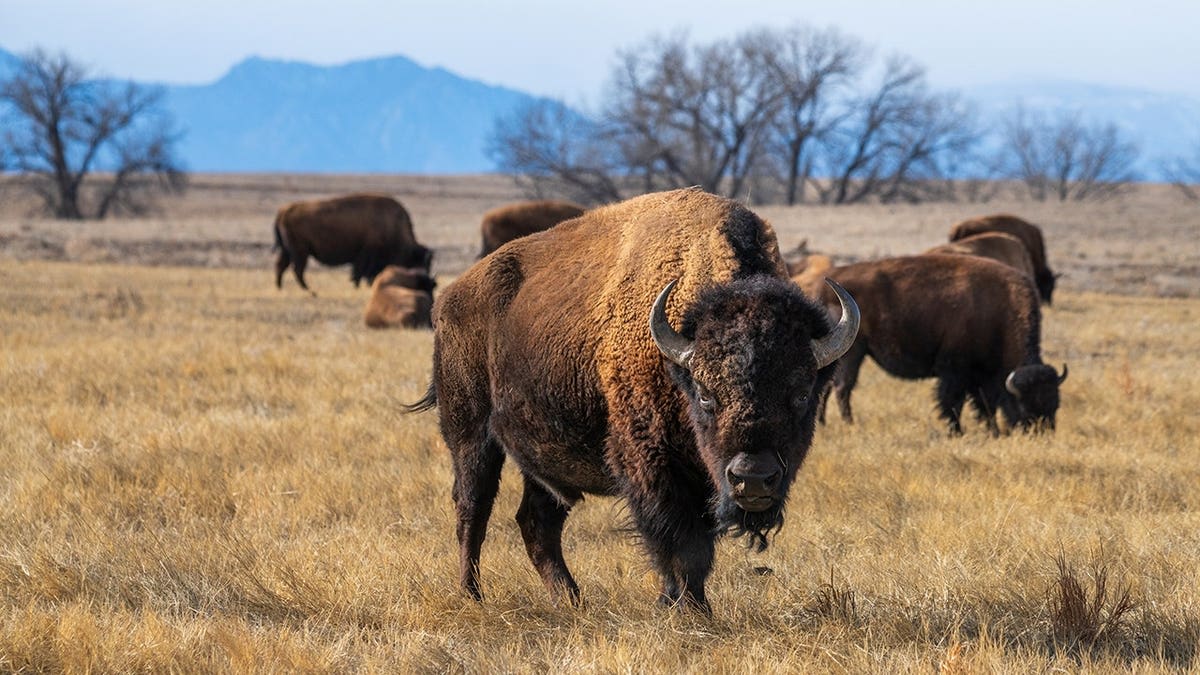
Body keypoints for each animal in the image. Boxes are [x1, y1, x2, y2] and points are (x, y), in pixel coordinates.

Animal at [273, 193, 433, 292]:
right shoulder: (365, 254)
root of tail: (284, 211)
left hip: (288, 251)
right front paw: (358, 286)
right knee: (297, 269)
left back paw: (281, 288)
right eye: (419, 262)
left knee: (281, 266)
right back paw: (309, 290)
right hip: (300, 251)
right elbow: (359, 273)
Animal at [407, 188, 859, 611]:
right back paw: (472, 594)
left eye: (801, 394)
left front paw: (684, 604)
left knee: (537, 522)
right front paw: (689, 609)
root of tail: (451, 298)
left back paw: (572, 600)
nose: (752, 477)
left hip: (543, 456)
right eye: (706, 395)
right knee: (473, 508)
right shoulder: (652, 463)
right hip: (470, 434)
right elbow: (682, 544)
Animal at [818, 254, 1067, 435]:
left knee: (828, 387)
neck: (999, 313)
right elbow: (953, 402)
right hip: (854, 351)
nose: (1041, 433)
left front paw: (992, 431)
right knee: (843, 388)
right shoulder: (955, 371)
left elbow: (984, 405)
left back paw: (823, 423)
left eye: (1055, 404)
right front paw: (957, 432)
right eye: (1024, 405)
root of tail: (826, 286)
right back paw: (849, 423)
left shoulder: (980, 377)